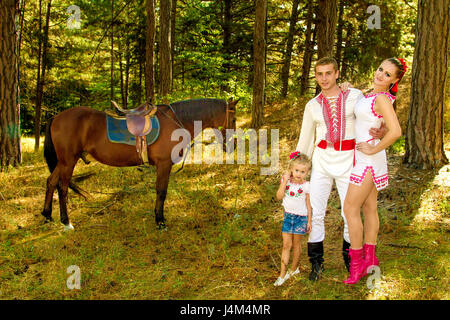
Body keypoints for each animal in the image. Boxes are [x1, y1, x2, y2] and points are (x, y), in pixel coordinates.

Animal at [42, 98, 239, 230]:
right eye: (234, 119)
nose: (233, 145)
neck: (176, 121)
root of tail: (56, 117)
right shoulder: (163, 165)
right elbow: (161, 191)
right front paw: (160, 220)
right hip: (68, 160)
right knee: (62, 187)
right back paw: (66, 222)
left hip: (63, 161)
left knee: (51, 181)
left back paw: (47, 215)